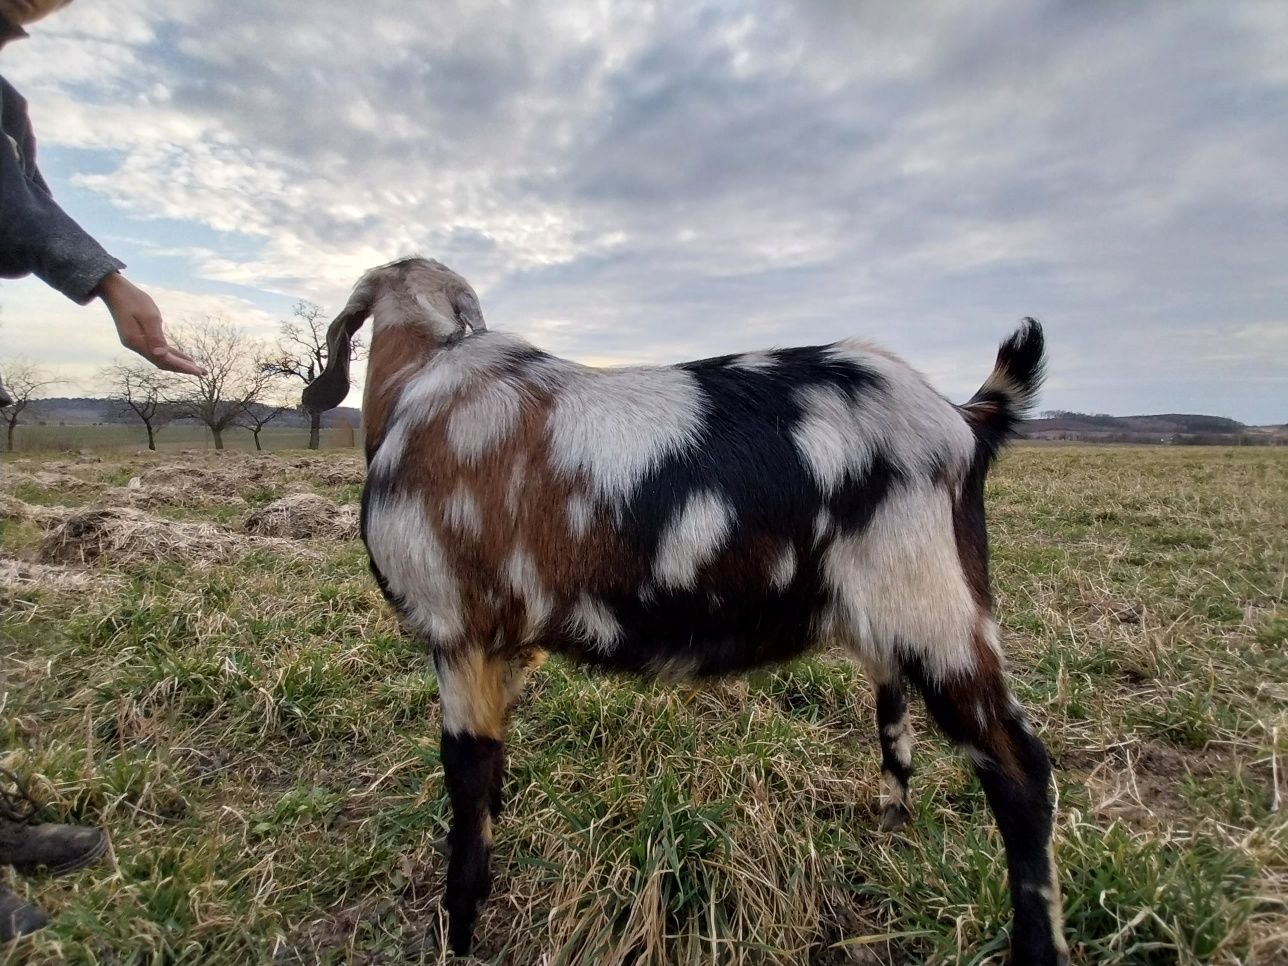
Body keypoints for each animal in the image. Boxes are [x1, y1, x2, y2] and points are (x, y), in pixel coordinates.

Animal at [301, 258, 1066, 966]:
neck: (424, 380)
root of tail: (963, 421)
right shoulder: (507, 647)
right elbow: (491, 776)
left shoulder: (459, 630)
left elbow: (466, 782)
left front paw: (456, 932)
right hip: (894, 620)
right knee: (897, 719)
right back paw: (890, 831)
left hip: (939, 616)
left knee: (1021, 771)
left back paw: (1034, 944)